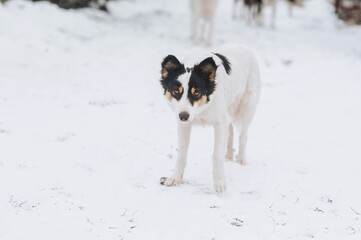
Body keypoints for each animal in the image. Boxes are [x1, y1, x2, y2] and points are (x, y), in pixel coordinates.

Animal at [160, 44, 258, 192]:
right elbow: (182, 153)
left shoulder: (219, 122)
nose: (183, 116)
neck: (201, 110)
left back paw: (241, 159)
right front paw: (176, 178)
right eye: (176, 91)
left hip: (246, 108)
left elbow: (217, 154)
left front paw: (219, 182)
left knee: (243, 135)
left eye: (197, 92)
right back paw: (229, 155)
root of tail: (241, 46)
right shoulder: (184, 125)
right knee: (230, 132)